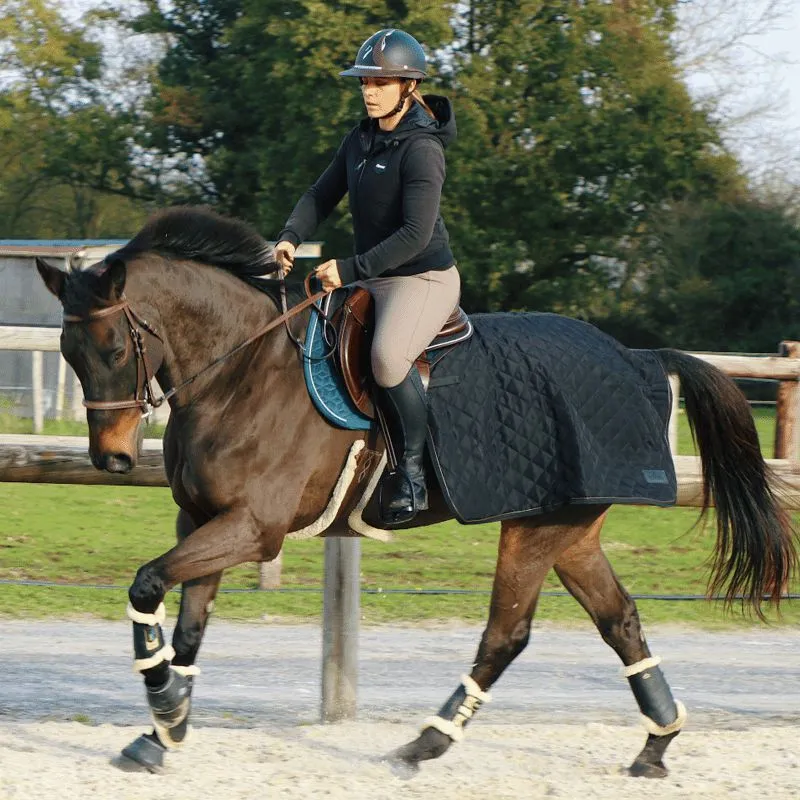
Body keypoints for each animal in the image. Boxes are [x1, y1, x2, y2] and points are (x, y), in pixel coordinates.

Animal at [36, 206, 792, 780]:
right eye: (69, 356)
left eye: (111, 350)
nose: (112, 458)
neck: (242, 371)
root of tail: (636, 356)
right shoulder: (201, 518)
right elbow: (189, 626)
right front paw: (164, 729)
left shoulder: (252, 527)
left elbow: (145, 584)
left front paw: (163, 704)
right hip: (571, 531)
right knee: (620, 621)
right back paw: (656, 745)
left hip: (534, 526)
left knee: (506, 635)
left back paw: (424, 745)